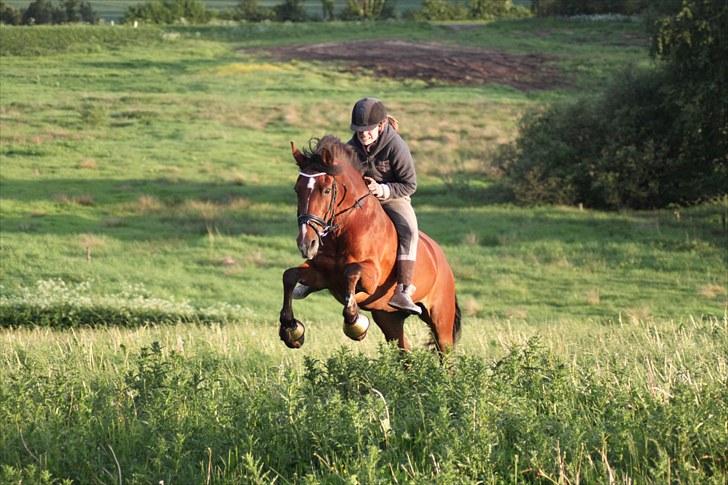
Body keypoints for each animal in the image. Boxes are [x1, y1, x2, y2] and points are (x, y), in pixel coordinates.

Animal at [278, 135, 460, 352]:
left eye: (327, 190)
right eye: (297, 189)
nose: (306, 244)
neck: (343, 231)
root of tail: (443, 260)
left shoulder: (371, 278)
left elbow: (351, 273)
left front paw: (355, 324)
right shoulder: (322, 276)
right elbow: (289, 276)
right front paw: (290, 329)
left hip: (440, 318)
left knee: (445, 350)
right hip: (388, 318)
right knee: (404, 350)